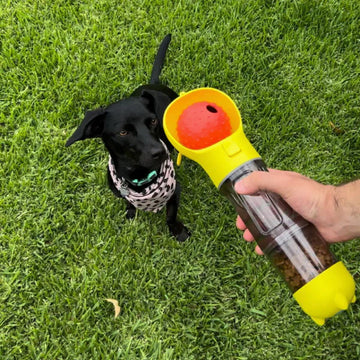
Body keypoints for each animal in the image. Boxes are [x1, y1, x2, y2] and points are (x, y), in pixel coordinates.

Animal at [68, 34, 191, 242]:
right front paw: (130, 212)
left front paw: (177, 231)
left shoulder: (175, 191)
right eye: (123, 132)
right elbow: (129, 203)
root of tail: (153, 84)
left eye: (153, 121)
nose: (159, 152)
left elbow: (171, 215)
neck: (138, 177)